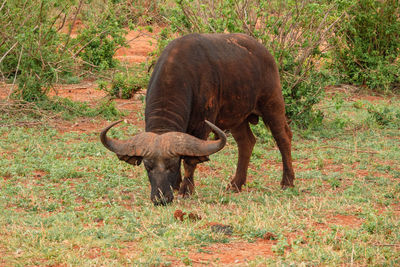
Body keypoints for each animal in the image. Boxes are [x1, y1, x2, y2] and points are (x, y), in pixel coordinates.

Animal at [100, 33, 294, 205]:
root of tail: (265, 53)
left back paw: (287, 181)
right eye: (148, 167)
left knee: (283, 138)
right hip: (237, 118)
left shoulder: (202, 126)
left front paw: (186, 190)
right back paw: (236, 184)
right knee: (246, 142)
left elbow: (190, 160)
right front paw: (177, 185)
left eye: (172, 165)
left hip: (272, 104)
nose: (161, 198)